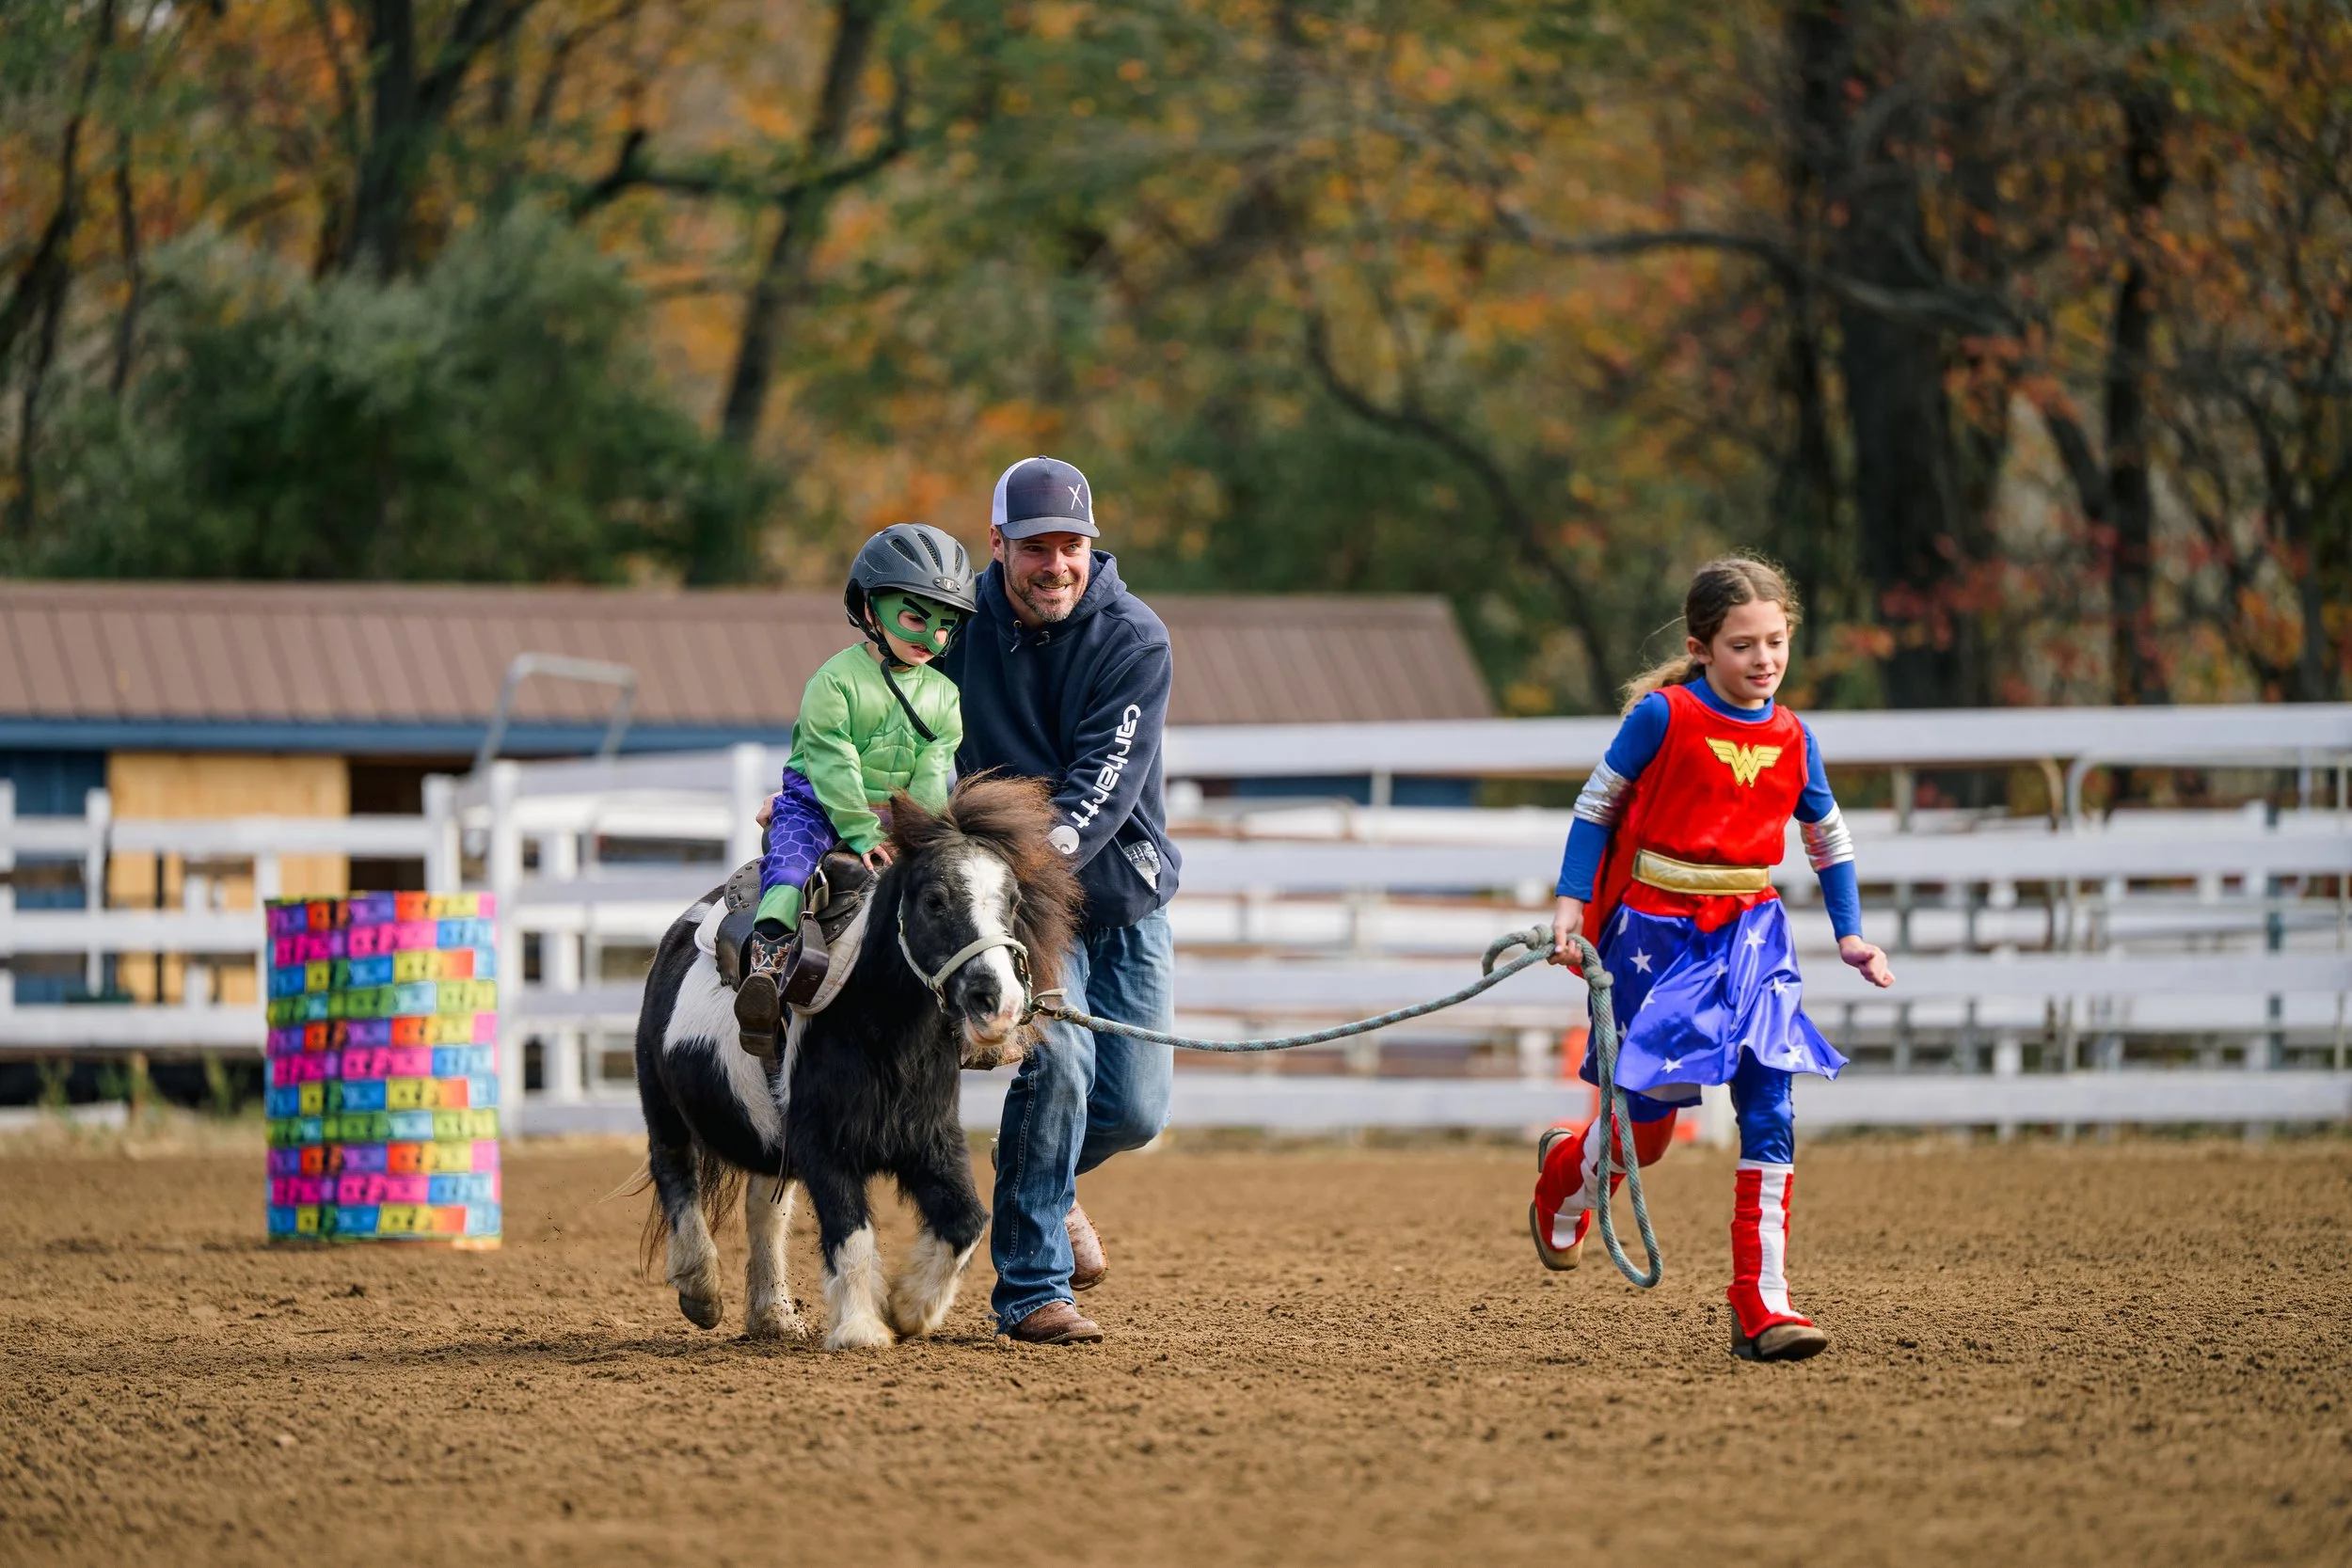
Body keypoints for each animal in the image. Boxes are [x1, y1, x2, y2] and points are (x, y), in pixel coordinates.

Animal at [632, 774, 1079, 1350]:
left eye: (1014, 898)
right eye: (934, 900)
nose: (997, 1002)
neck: (882, 1032)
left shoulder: (932, 1139)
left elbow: (966, 1221)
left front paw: (909, 1309)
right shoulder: (825, 1144)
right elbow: (852, 1232)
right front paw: (862, 1329)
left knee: (764, 1209)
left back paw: (774, 1315)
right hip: (662, 1104)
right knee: (676, 1174)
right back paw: (700, 1289)